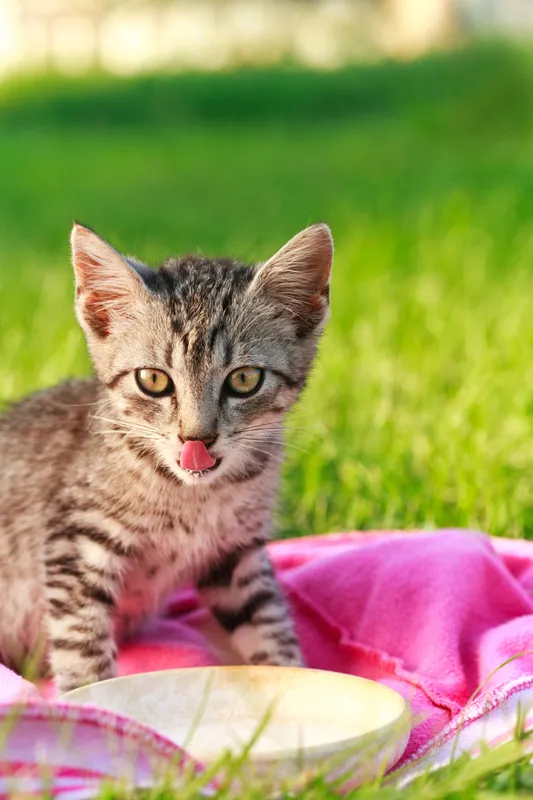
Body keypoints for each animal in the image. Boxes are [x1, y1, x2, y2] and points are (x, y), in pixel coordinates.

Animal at [0, 222, 332, 692]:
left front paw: (293, 680)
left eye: (245, 380)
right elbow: (81, 642)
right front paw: (87, 702)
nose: (197, 438)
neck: (194, 497)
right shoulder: (74, 540)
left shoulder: (236, 559)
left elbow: (267, 623)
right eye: (153, 380)